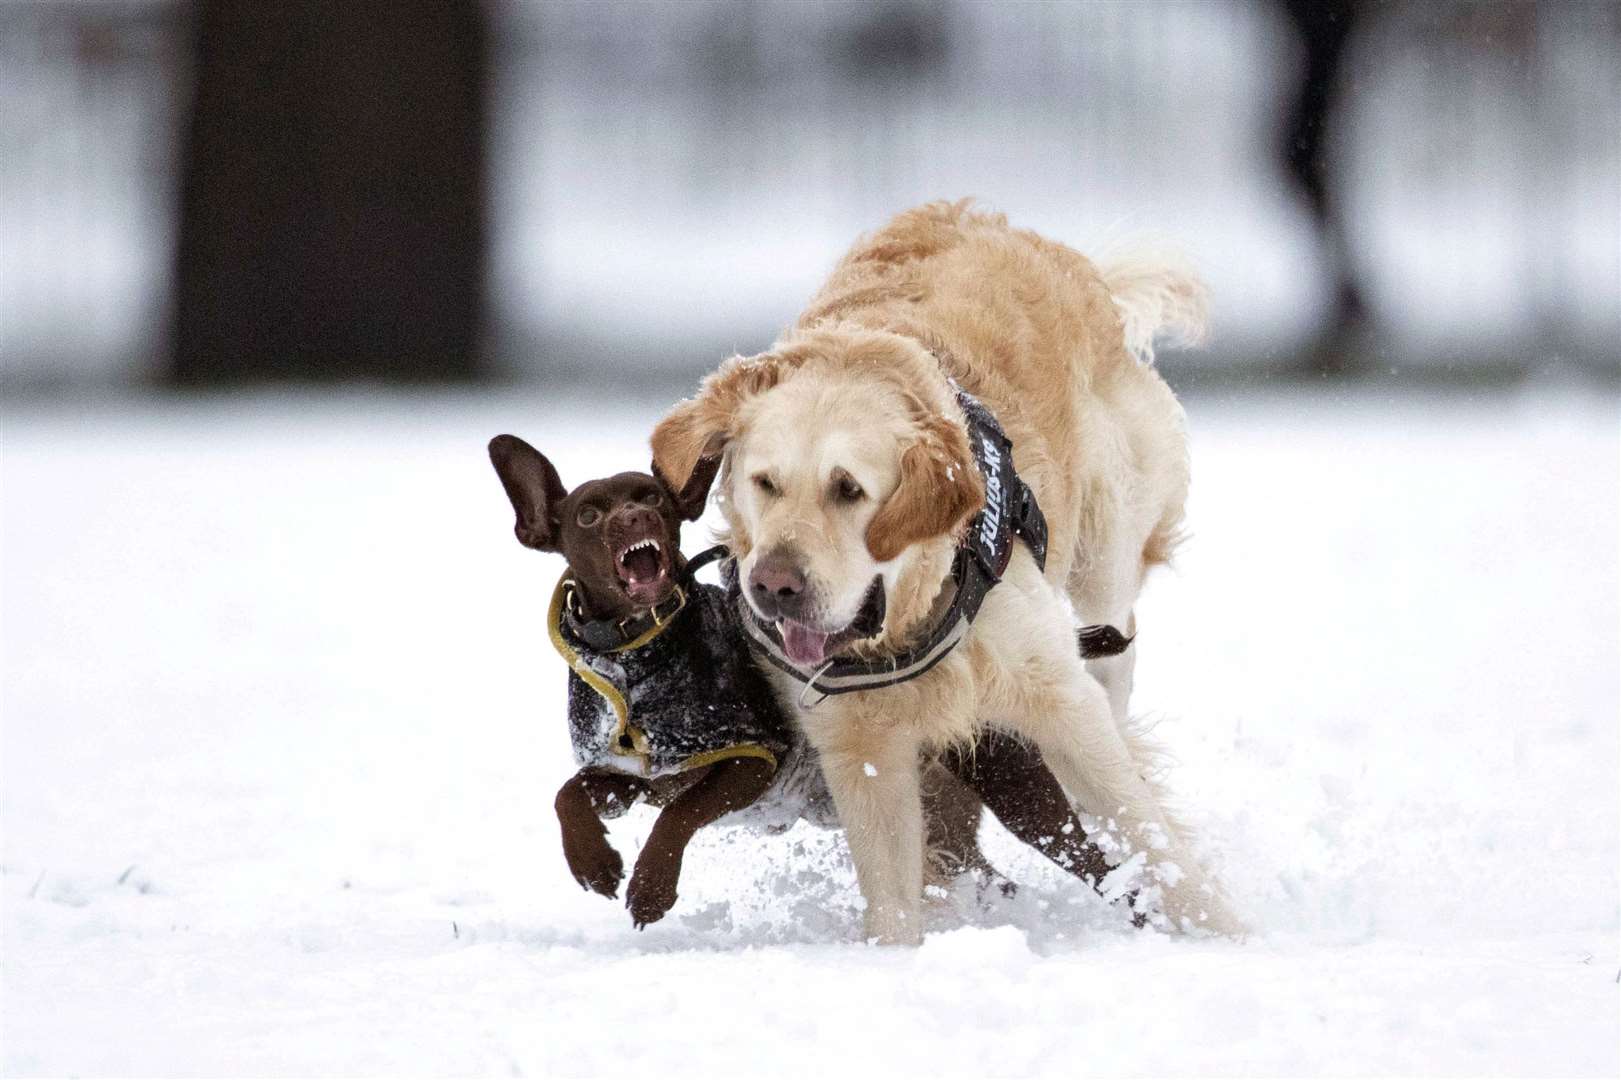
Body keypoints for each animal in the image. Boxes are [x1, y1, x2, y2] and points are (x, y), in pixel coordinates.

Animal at [486, 428, 1134, 927]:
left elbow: (679, 815)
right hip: (941, 826)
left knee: (1093, 862)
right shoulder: (628, 778)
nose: (637, 516)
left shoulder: (752, 760)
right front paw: (593, 862)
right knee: (984, 876)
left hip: (1018, 788)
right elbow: (568, 794)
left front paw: (649, 889)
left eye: (657, 502)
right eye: (588, 515)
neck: (632, 658)